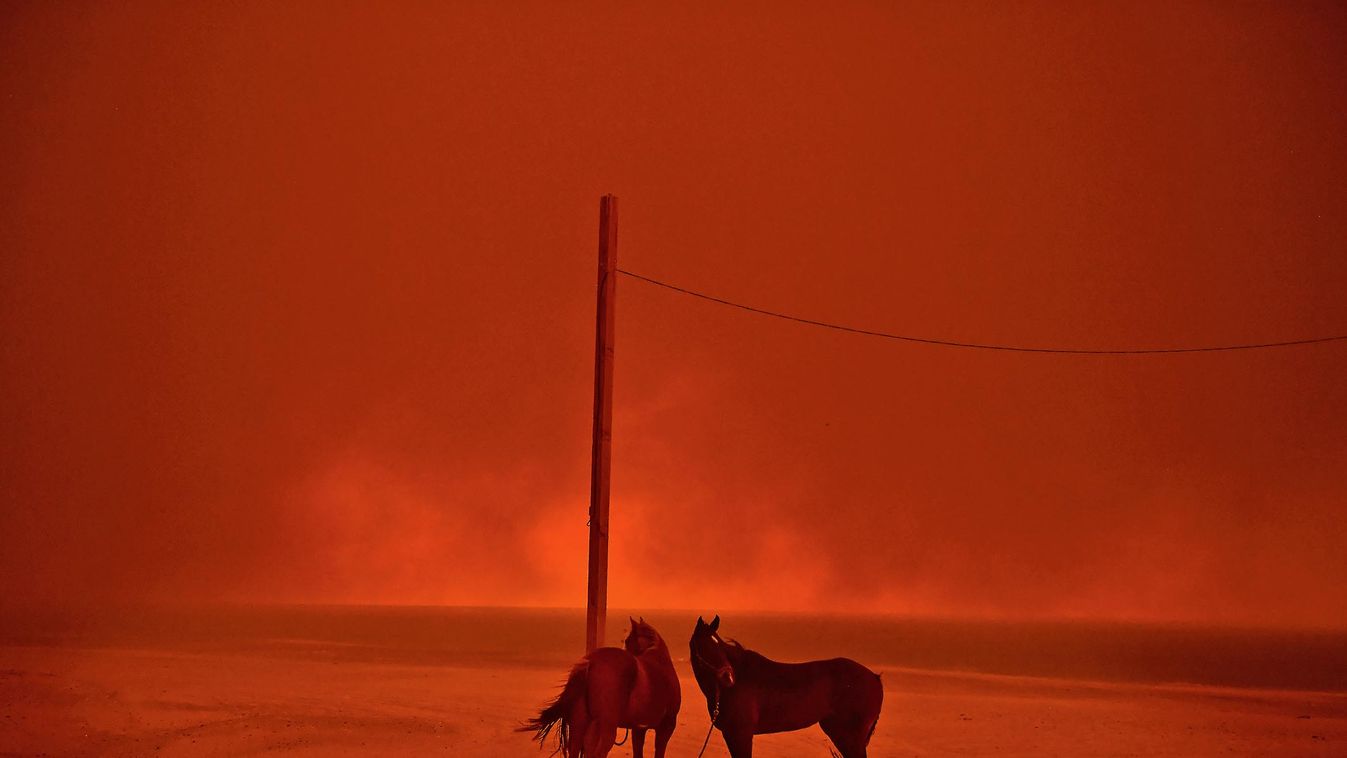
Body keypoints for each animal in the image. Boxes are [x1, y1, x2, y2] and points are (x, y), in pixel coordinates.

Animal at [517, 616, 678, 758]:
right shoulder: (665, 728)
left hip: (580, 724)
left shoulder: (639, 729)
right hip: (606, 728)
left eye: (627, 640)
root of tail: (591, 661)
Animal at [695, 616, 883, 758]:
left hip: (850, 738)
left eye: (719, 645)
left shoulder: (740, 734)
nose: (729, 677)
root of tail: (874, 678)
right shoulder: (732, 734)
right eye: (706, 646)